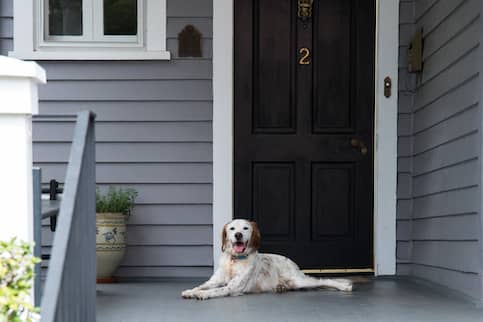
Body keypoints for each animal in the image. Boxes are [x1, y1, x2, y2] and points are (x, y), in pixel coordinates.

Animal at [181, 219, 352, 300]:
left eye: (245, 228)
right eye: (232, 228)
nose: (238, 235)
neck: (234, 260)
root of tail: (290, 260)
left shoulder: (232, 287)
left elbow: (216, 290)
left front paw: (202, 295)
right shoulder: (214, 281)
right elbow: (203, 285)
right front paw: (191, 291)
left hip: (299, 280)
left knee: (324, 280)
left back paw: (344, 286)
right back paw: (281, 288)